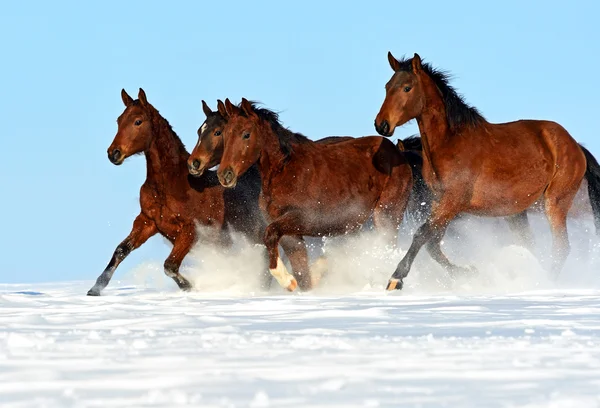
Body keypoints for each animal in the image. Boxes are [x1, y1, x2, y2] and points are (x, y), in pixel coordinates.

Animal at [86, 88, 268, 296]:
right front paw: (95, 289)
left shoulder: (191, 230)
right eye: (119, 120)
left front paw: (189, 287)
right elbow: (121, 250)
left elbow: (170, 265)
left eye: (138, 121)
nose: (113, 153)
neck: (169, 185)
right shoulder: (148, 221)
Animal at [217, 97, 418, 292]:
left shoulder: (303, 219)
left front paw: (286, 280)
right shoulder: (292, 234)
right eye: (224, 135)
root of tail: (398, 154)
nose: (225, 175)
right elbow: (302, 276)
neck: (286, 171)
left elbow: (270, 235)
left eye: (246, 134)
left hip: (386, 214)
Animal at [376, 52, 600, 292]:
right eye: (387, 86)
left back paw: (545, 282)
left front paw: (396, 279)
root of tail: (576, 146)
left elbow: (421, 234)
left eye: (407, 88)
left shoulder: (452, 202)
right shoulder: (440, 203)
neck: (450, 144)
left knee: (561, 247)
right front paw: (469, 273)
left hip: (555, 203)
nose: (381, 125)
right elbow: (433, 244)